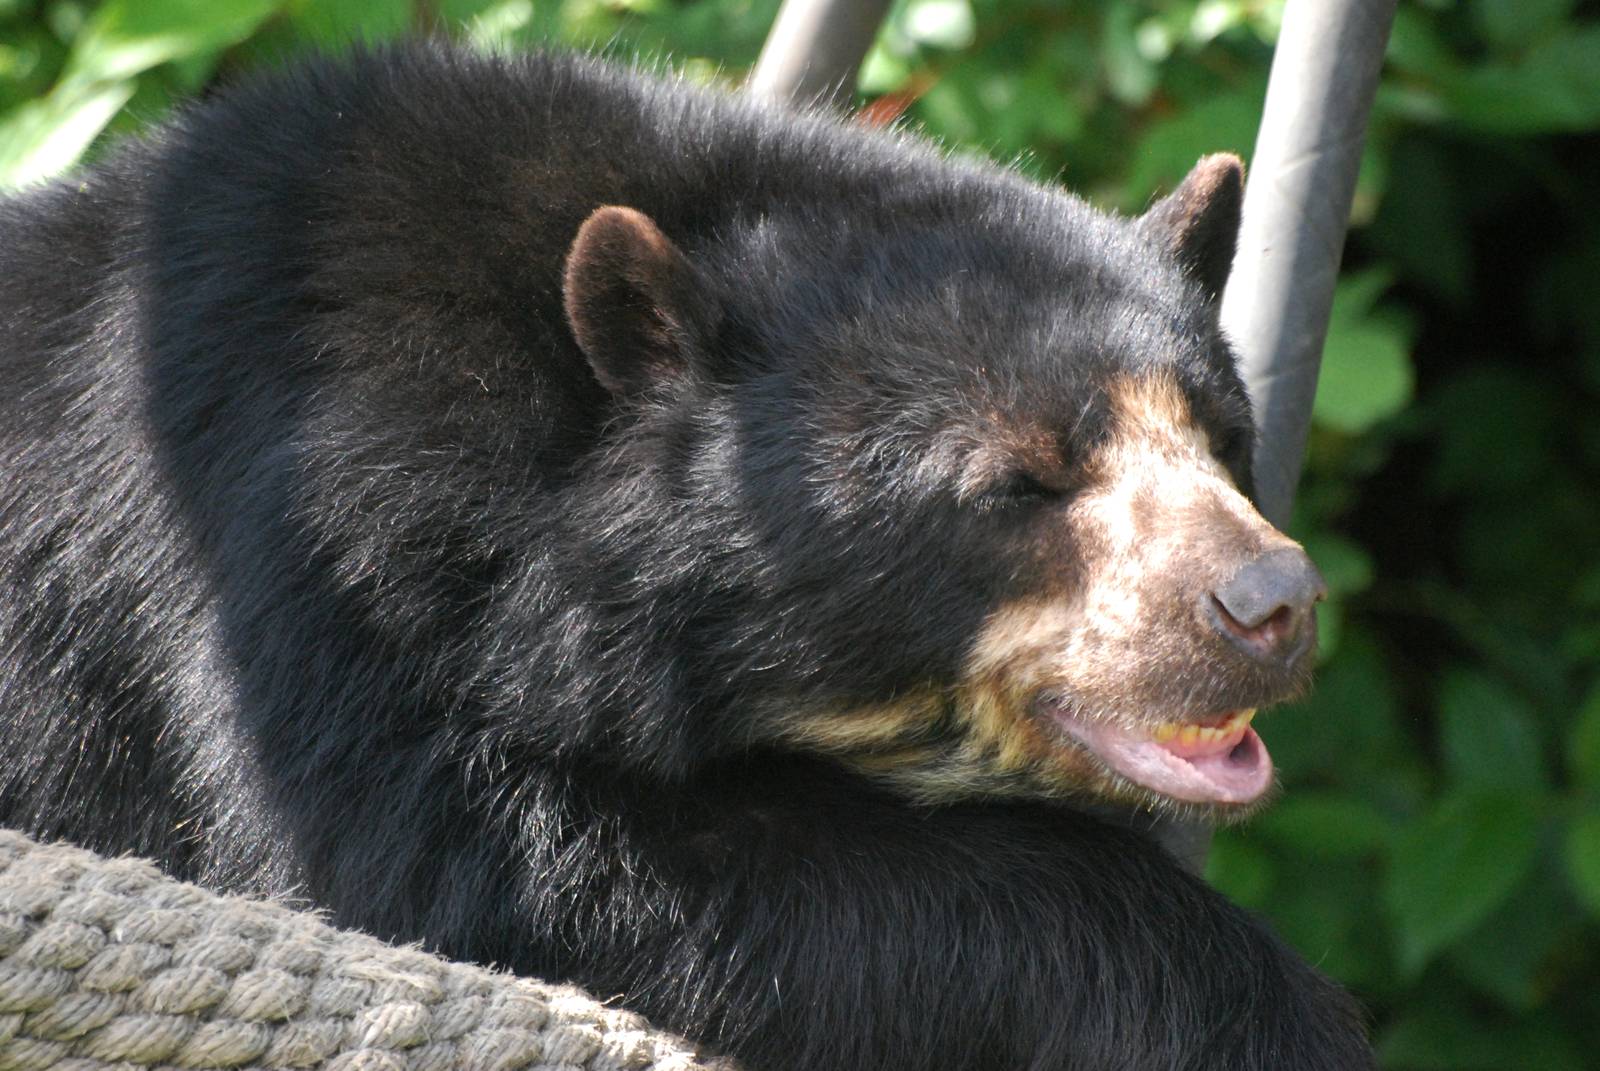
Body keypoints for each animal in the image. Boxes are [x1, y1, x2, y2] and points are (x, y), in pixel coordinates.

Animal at [0, 43, 1371, 1070]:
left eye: (1221, 436)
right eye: (1018, 482)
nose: (1267, 604)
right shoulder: (288, 551)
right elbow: (465, 863)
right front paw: (1273, 1016)